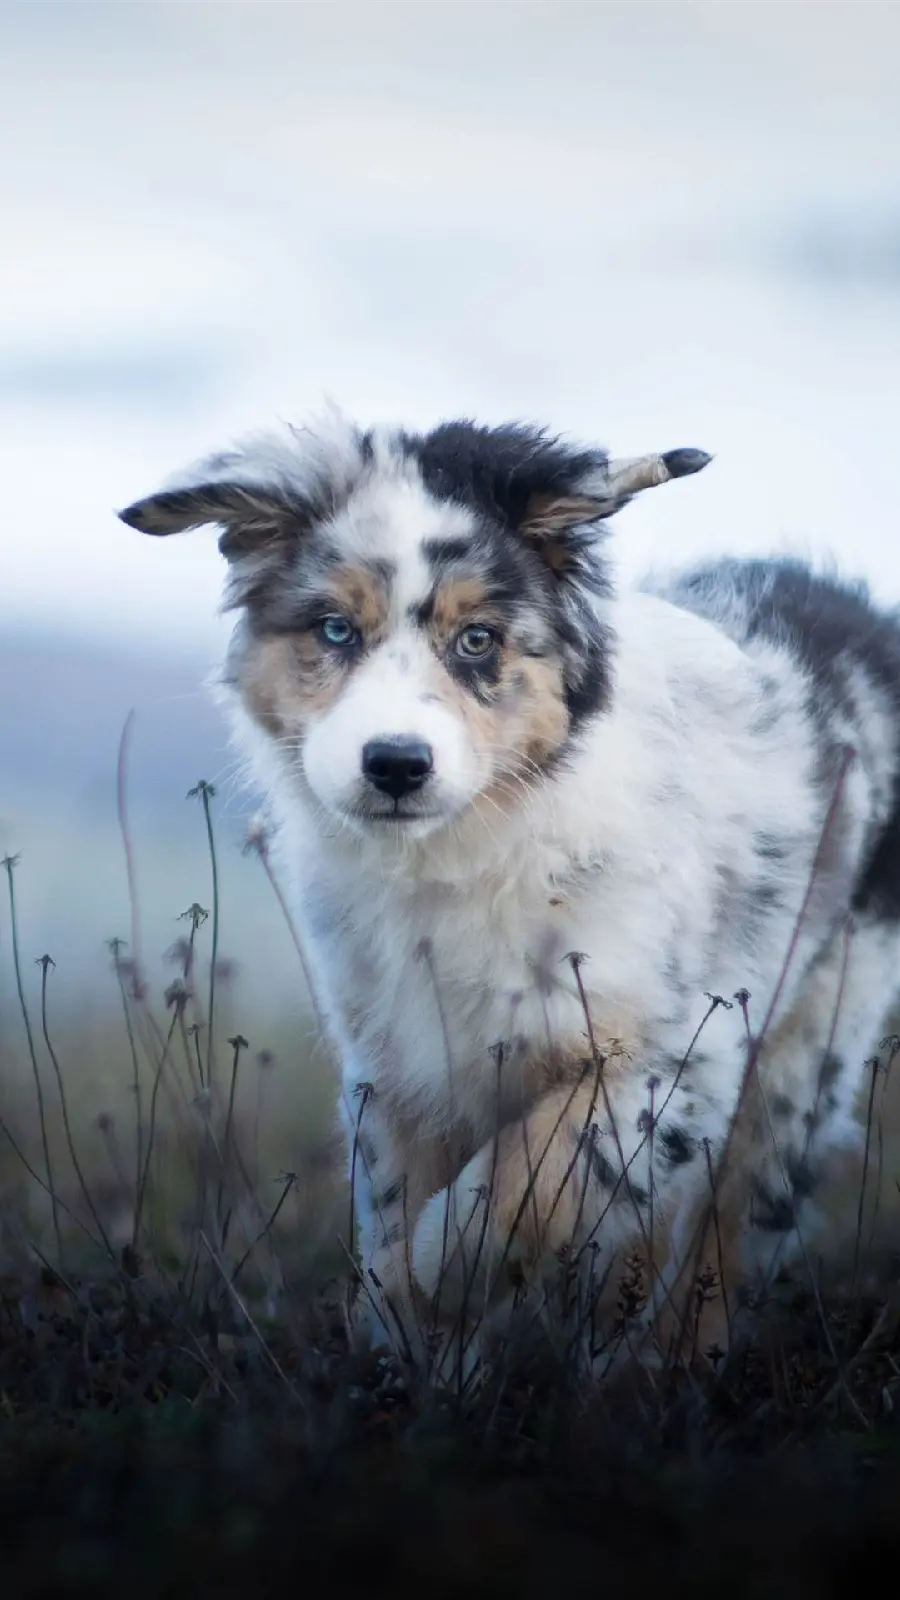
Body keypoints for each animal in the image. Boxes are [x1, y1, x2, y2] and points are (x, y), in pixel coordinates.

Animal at [119, 412, 896, 1376]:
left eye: (478, 640)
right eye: (335, 630)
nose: (396, 765)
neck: (468, 848)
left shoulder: (680, 1049)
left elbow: (538, 1173)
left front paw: (442, 1269)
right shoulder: (398, 1060)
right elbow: (396, 1203)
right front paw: (418, 1353)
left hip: (810, 1047)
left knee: (727, 1228)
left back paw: (665, 1368)